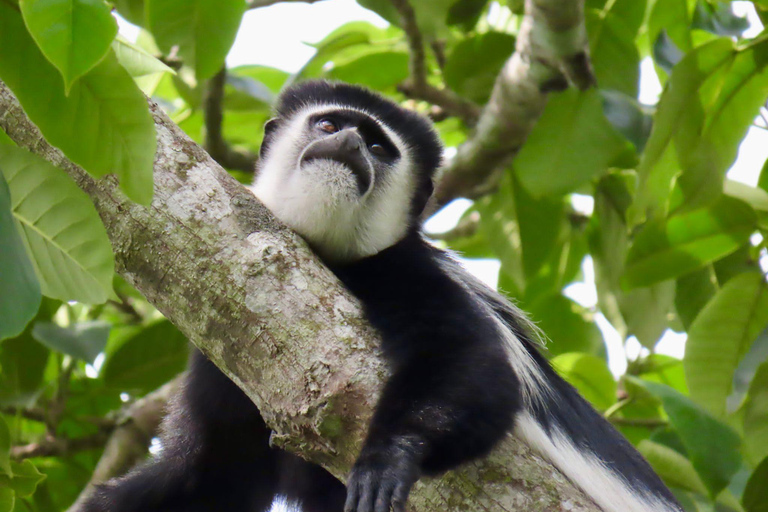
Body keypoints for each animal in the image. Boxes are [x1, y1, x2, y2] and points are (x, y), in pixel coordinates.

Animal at [84, 80, 684, 512]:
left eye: (377, 146)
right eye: (329, 123)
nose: (350, 143)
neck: (329, 255)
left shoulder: (402, 271)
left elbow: (471, 366)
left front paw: (386, 461)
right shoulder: (223, 343)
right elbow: (214, 474)